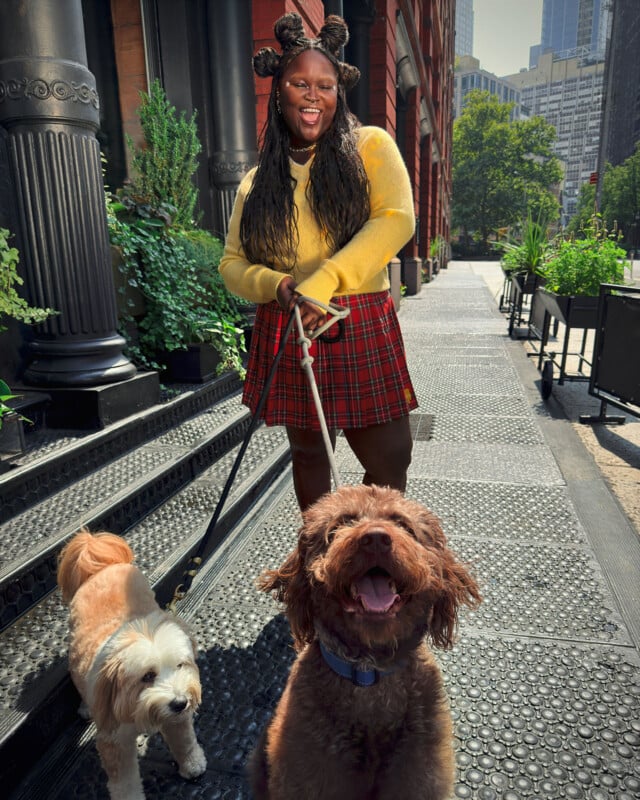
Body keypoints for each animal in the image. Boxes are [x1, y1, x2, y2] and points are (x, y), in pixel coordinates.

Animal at [57, 532, 206, 800]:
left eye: (180, 665)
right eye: (147, 676)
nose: (180, 702)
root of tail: (102, 564)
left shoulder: (176, 716)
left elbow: (184, 740)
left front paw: (192, 763)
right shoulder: (114, 741)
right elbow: (124, 780)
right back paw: (85, 706)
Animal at [250, 482, 480, 800]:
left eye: (402, 524)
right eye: (340, 524)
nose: (375, 539)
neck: (369, 671)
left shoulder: (417, 772)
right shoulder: (313, 770)